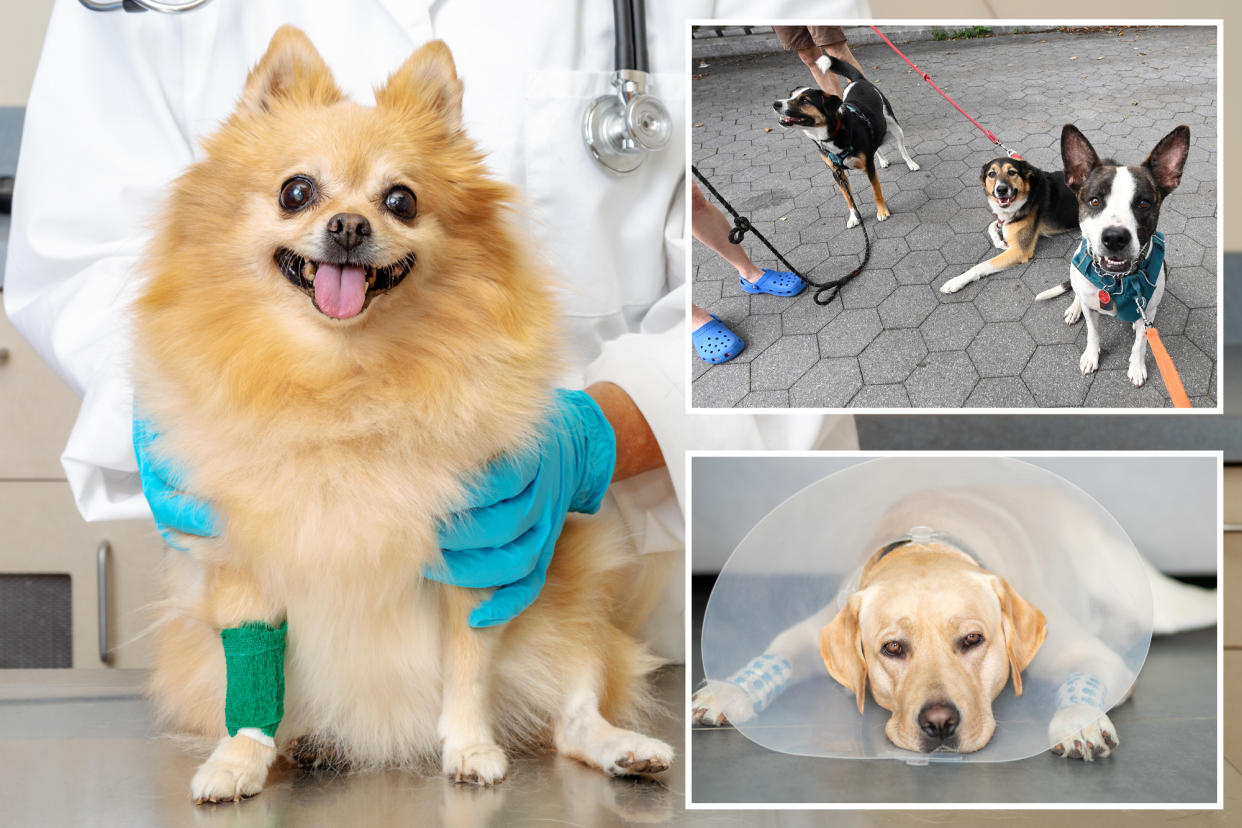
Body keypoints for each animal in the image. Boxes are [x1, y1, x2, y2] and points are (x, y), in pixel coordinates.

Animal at [133, 25, 670, 804]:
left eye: (401, 200)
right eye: (296, 192)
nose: (349, 225)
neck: (343, 381)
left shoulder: (477, 556)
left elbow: (467, 670)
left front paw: (470, 748)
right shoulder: (241, 564)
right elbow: (250, 677)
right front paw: (238, 757)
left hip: (564, 612)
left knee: (572, 716)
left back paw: (624, 748)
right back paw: (309, 746)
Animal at [695, 486, 1217, 764]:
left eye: (972, 639)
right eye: (892, 648)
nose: (940, 723)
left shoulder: (1086, 654)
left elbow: (1082, 682)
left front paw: (1079, 722)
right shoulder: (815, 631)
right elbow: (778, 650)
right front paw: (728, 691)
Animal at [770, 54, 919, 229]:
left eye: (805, 100)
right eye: (790, 95)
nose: (776, 104)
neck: (833, 135)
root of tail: (858, 80)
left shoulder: (869, 168)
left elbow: (876, 192)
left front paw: (882, 211)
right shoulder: (837, 173)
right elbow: (849, 199)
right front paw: (854, 217)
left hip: (894, 126)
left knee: (902, 149)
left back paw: (911, 164)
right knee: (876, 147)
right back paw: (883, 160)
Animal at [933, 157, 1083, 296]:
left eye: (1012, 172)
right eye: (991, 174)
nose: (1001, 190)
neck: (1026, 196)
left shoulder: (1020, 250)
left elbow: (981, 265)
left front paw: (955, 281)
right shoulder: (1004, 222)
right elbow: (993, 226)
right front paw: (1001, 242)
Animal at [1033, 124, 1187, 389]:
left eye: (1144, 204)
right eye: (1094, 200)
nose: (1115, 238)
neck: (1116, 281)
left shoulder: (1148, 312)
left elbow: (1141, 342)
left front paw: (1137, 366)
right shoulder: (1091, 307)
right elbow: (1093, 333)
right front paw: (1091, 356)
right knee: (1077, 292)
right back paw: (1074, 308)